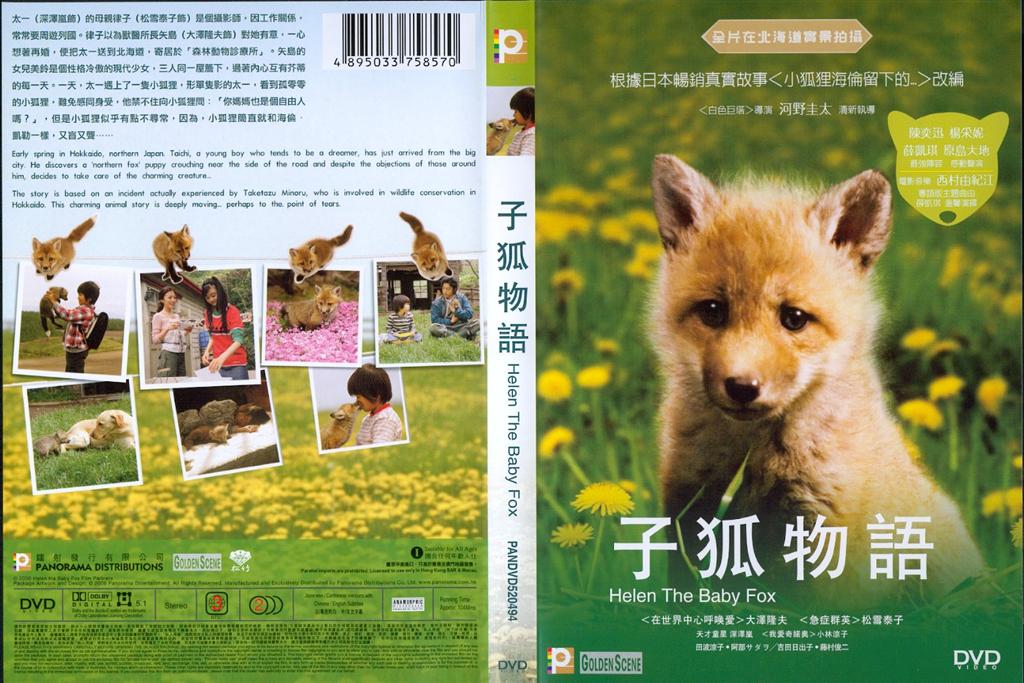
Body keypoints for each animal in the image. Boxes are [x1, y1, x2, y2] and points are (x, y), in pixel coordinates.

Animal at [650, 154, 983, 607]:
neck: (759, 454)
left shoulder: (825, 533)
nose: (742, 387)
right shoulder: (689, 502)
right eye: (713, 311)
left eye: (794, 318)